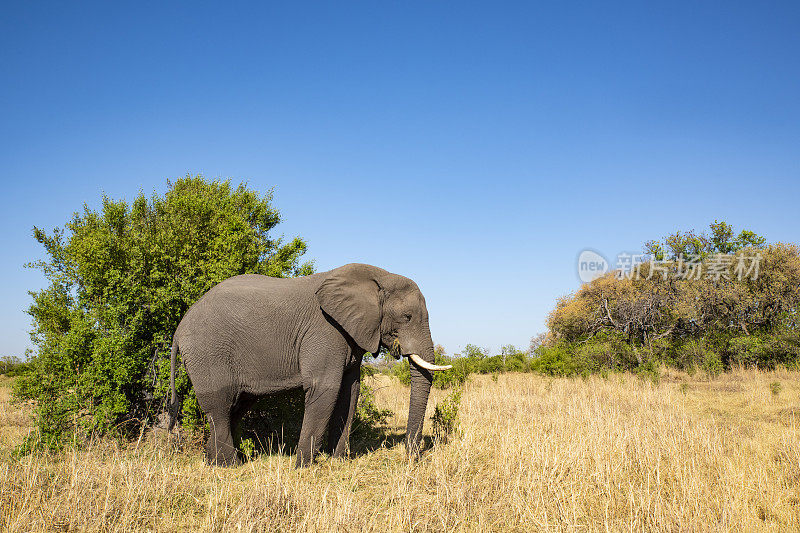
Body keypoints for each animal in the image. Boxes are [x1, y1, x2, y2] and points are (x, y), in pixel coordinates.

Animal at [168, 262, 450, 466]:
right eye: (407, 317)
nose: (411, 459)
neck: (379, 276)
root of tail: (180, 327)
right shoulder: (325, 329)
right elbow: (325, 388)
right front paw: (302, 467)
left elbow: (350, 392)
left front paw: (337, 462)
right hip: (207, 352)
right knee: (220, 405)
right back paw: (229, 466)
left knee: (235, 407)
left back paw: (211, 462)